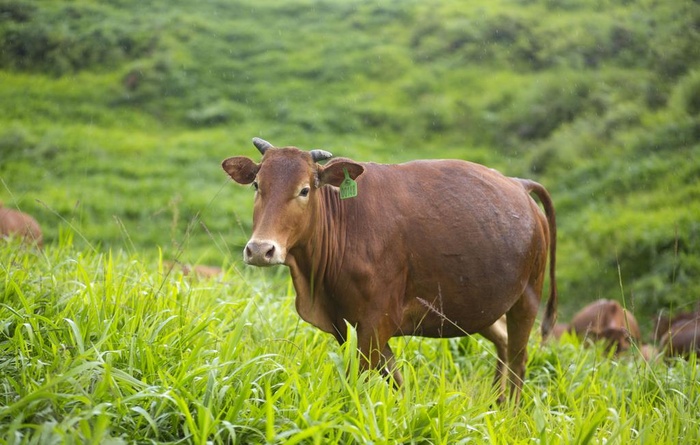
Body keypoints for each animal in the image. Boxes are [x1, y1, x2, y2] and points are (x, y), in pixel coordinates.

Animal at [221, 138, 556, 402]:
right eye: (257, 185)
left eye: (304, 190)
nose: (260, 250)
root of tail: (519, 184)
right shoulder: (352, 322)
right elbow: (396, 380)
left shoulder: (376, 321)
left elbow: (361, 378)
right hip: (478, 307)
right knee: (503, 343)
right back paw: (496, 403)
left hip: (527, 299)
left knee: (519, 359)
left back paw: (510, 412)